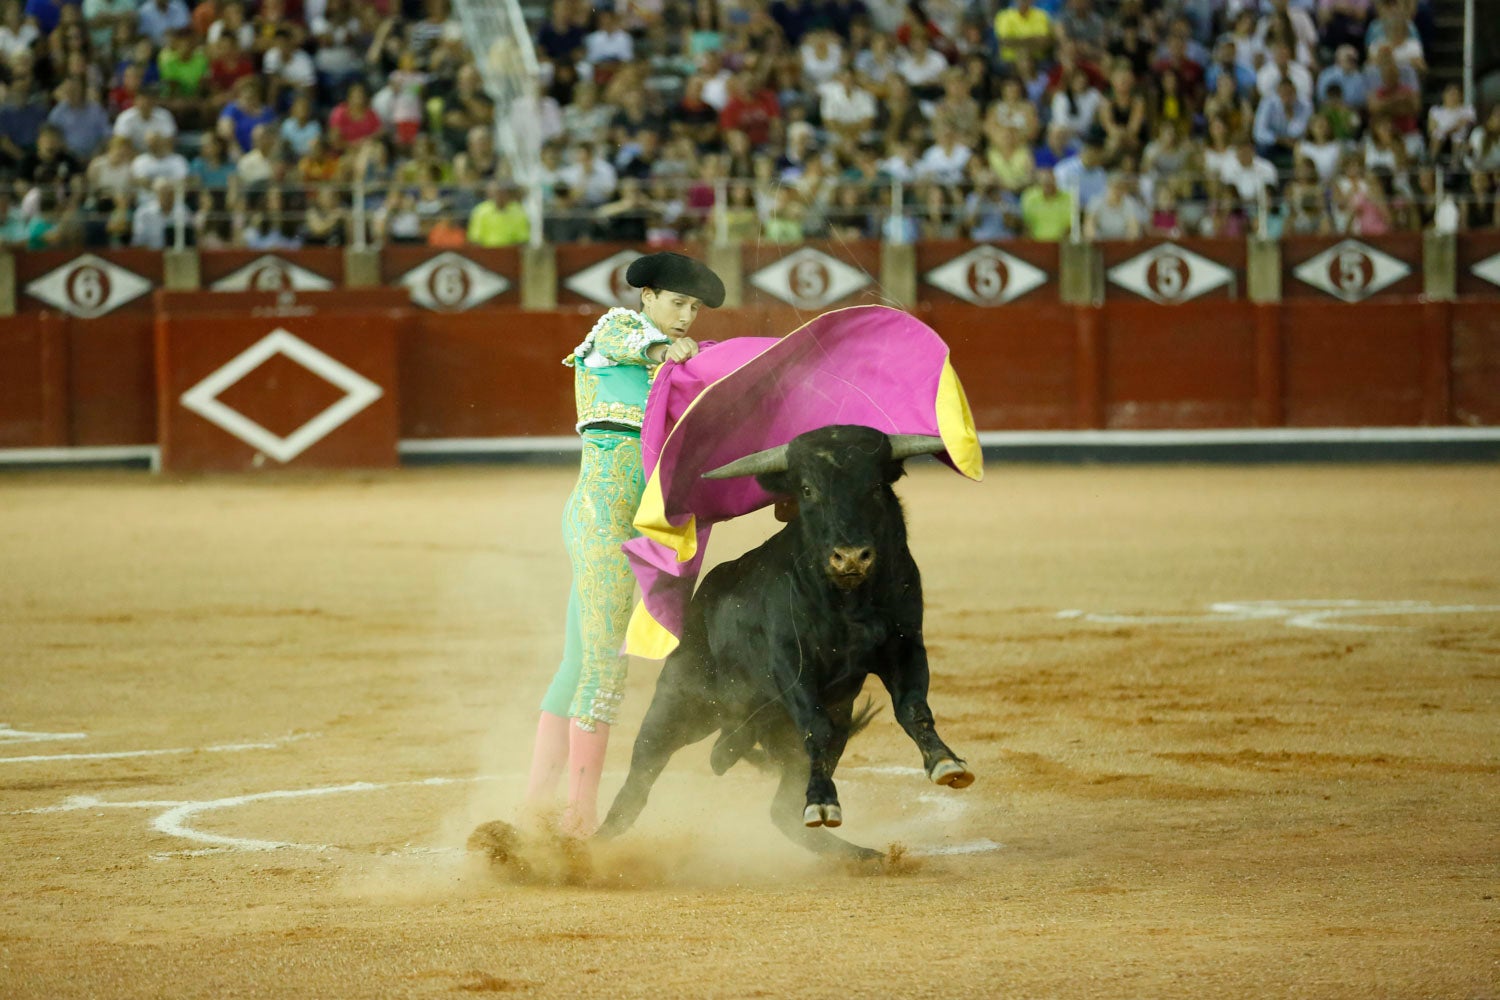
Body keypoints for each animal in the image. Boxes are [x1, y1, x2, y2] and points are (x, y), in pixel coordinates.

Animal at [597, 425, 972, 863]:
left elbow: (914, 708)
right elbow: (816, 726)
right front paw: (824, 802)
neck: (850, 603)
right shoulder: (791, 664)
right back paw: (587, 844)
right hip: (680, 702)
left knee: (784, 809)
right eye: (807, 489)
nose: (851, 558)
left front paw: (946, 763)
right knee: (640, 775)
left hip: (802, 727)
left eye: (876, 486)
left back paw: (863, 856)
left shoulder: (905, 644)